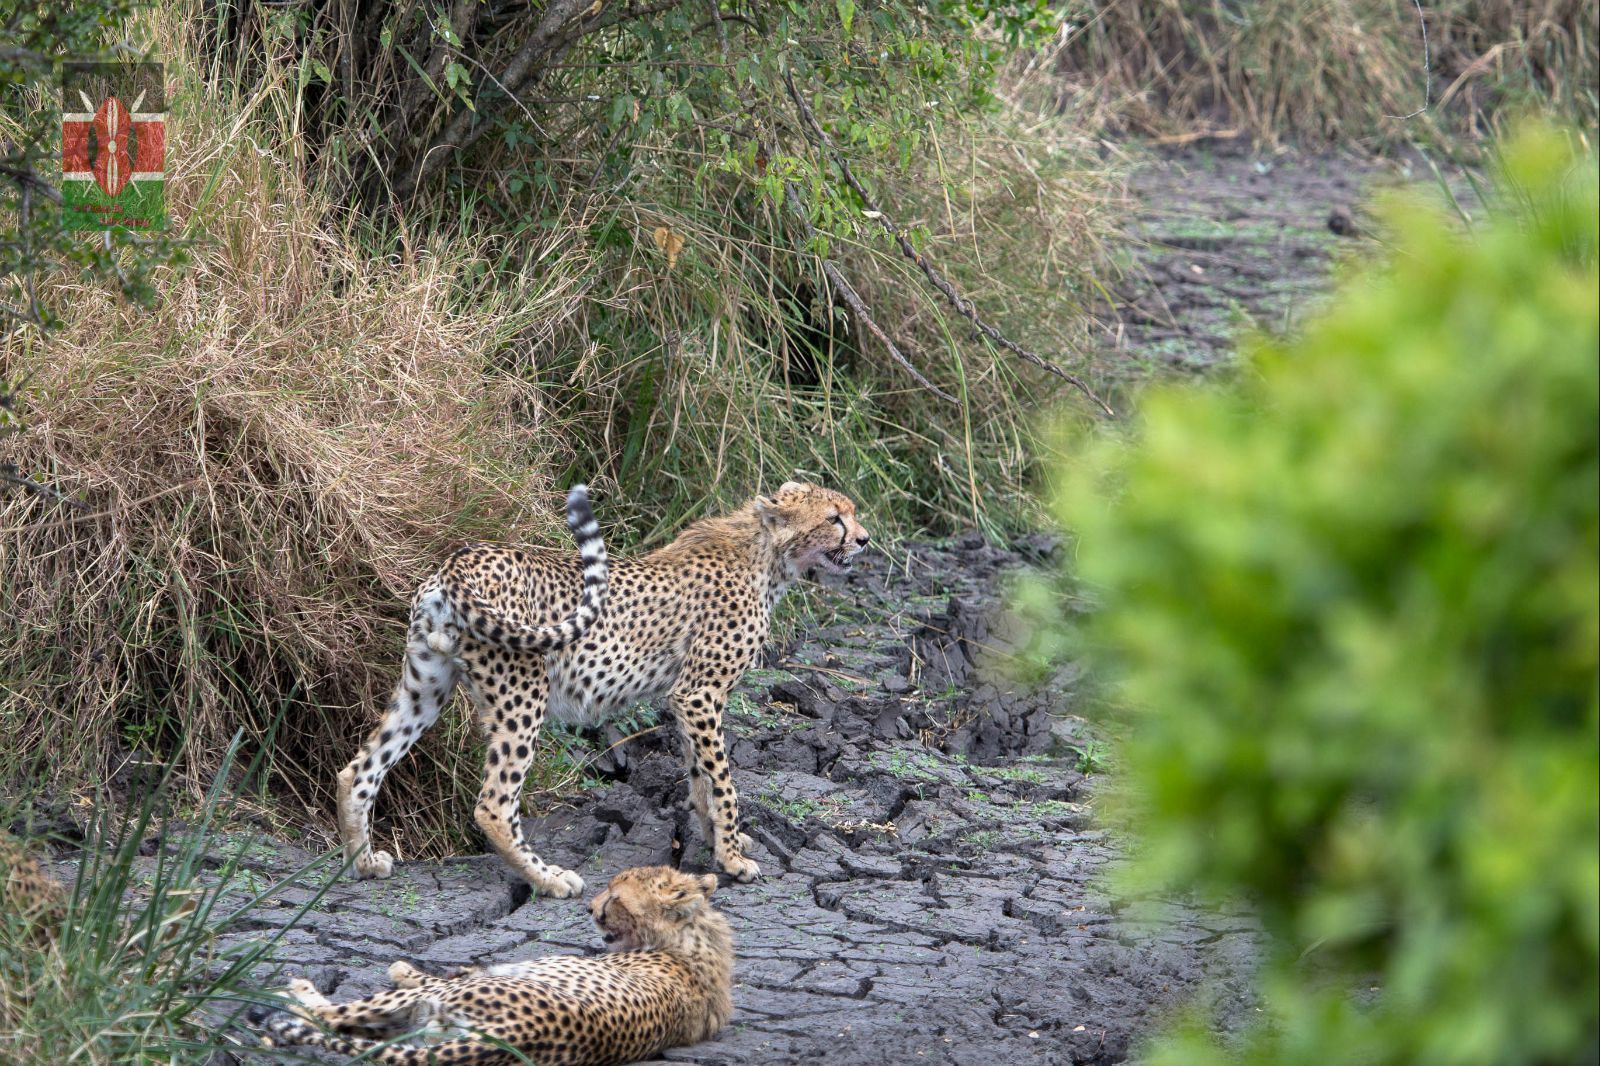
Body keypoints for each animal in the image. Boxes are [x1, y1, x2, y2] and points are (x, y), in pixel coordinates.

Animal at [259, 864, 732, 1062]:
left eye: (615, 897)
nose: (590, 909)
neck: (688, 940)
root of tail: (517, 1037)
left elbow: (438, 972)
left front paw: (401, 968)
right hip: (421, 1028)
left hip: (431, 1006)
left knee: (328, 1015)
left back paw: (292, 993)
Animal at [331, 476, 870, 889]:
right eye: (834, 518)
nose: (865, 540)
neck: (766, 555)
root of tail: (461, 560)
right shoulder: (699, 693)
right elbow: (723, 781)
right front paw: (734, 859)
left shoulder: (686, 699)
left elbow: (700, 778)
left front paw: (721, 841)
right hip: (522, 693)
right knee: (494, 804)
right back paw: (548, 878)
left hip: (426, 686)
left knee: (359, 770)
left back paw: (363, 862)